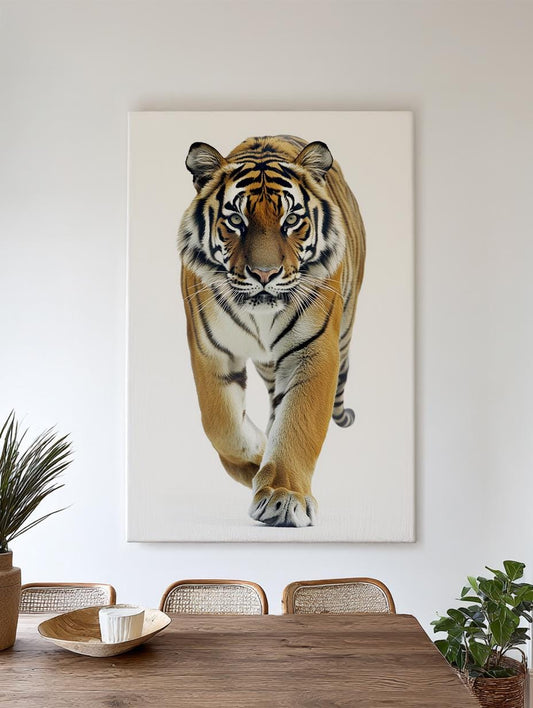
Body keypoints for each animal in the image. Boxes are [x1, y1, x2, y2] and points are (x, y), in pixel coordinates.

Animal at [178, 135, 365, 527]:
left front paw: (284, 495)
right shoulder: (208, 349)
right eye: (236, 220)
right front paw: (256, 461)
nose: (264, 274)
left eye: (291, 219)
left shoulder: (314, 350)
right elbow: (219, 422)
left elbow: (299, 422)